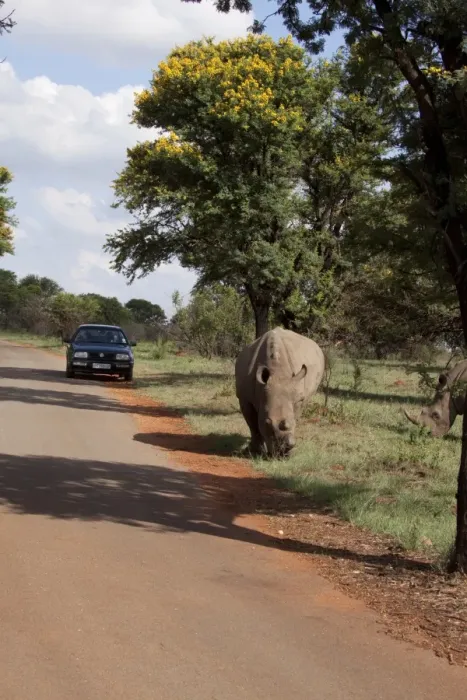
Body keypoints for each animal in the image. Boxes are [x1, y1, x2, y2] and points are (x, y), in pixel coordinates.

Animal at [235, 327, 325, 457]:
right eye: (267, 423)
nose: (284, 451)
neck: (277, 375)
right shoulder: (244, 398)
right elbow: (252, 424)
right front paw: (256, 452)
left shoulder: (297, 398)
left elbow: (294, 415)